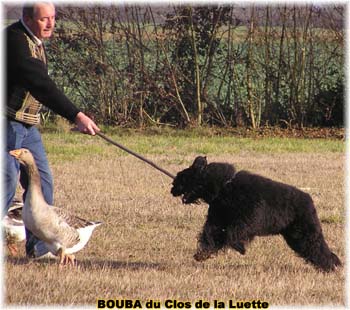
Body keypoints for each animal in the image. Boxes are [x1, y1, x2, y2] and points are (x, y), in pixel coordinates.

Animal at [172, 157, 342, 272]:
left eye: (186, 176)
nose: (172, 187)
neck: (224, 187)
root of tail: (310, 201)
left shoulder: (247, 219)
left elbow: (232, 234)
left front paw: (240, 247)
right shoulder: (217, 221)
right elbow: (210, 236)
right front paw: (202, 254)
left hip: (306, 233)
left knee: (318, 248)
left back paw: (331, 266)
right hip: (296, 236)